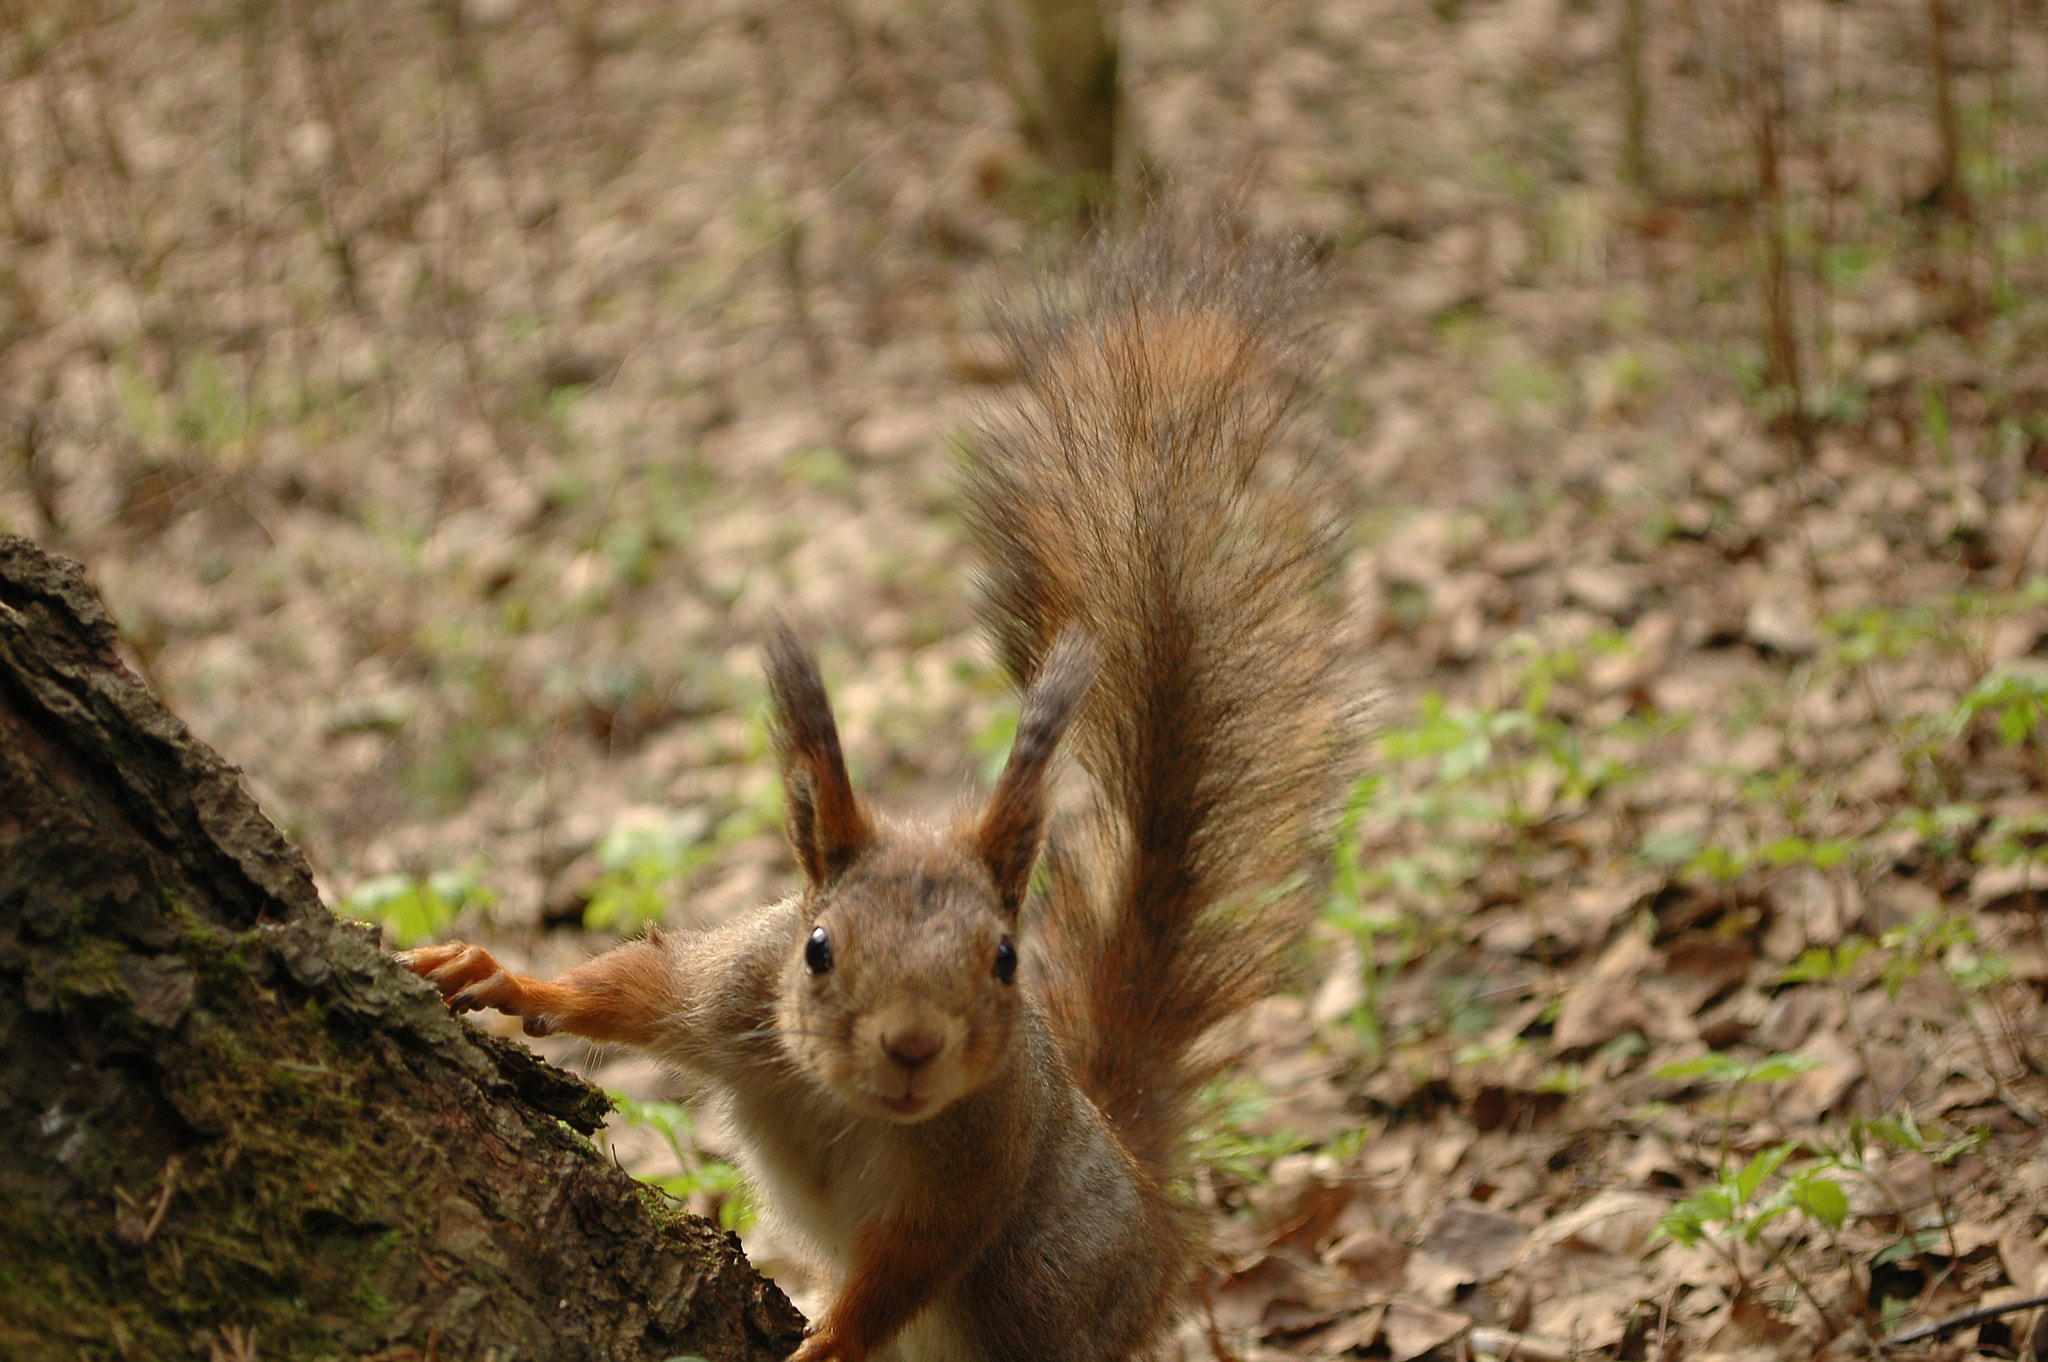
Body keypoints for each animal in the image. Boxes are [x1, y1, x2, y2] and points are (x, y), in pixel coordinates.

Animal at [402, 222, 1368, 1362]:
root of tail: (1151, 1209)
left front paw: (826, 1343)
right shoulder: (735, 985)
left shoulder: (978, 1154)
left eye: (1005, 961)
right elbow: (635, 987)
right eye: (818, 949)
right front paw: (500, 976)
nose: (913, 1046)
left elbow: (907, 1264)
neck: (850, 1102)